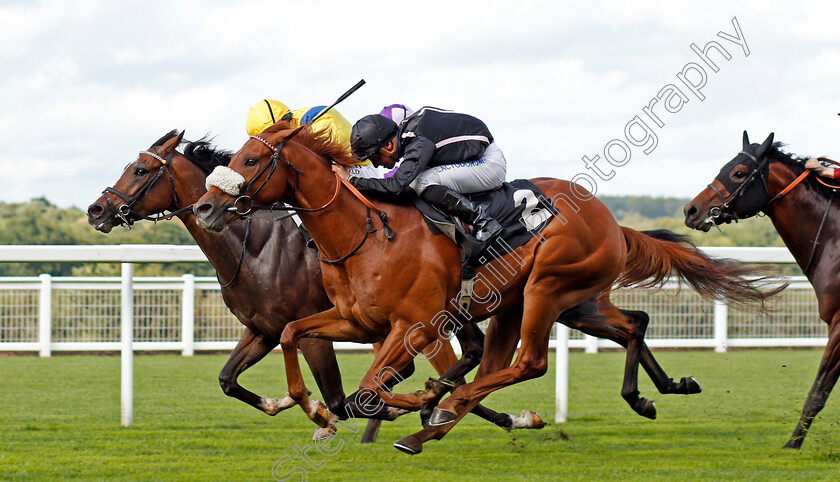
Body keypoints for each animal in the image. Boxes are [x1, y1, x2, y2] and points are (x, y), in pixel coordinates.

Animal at [87, 130, 544, 438]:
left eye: (141, 170)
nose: (96, 210)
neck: (254, 246)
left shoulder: (316, 329)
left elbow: (338, 397)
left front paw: (331, 415)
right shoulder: (263, 330)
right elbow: (228, 379)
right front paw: (282, 401)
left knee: (456, 367)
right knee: (469, 354)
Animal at [190, 119, 780, 452]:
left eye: (250, 159)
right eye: (231, 157)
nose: (205, 207)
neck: (362, 232)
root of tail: (612, 220)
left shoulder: (413, 325)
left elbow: (368, 388)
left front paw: (405, 400)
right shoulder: (356, 320)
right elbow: (295, 335)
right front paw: (314, 409)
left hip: (548, 288)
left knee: (527, 363)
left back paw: (438, 415)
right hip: (537, 303)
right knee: (618, 327)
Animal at [684, 131, 840, 448]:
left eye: (739, 172)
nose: (691, 209)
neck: (834, 239)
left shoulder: (839, 325)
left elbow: (819, 390)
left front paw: (792, 444)